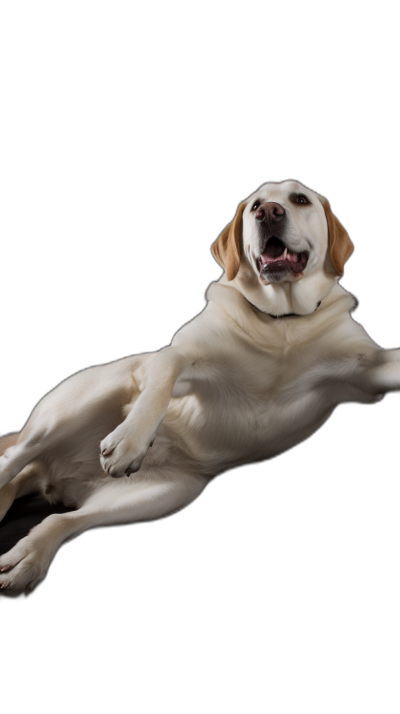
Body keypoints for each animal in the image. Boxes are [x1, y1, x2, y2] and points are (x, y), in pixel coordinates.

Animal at [0, 181, 400, 592]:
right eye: (255, 205)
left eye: (300, 200)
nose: (268, 213)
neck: (281, 321)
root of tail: (56, 475)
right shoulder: (176, 357)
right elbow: (163, 378)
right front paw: (130, 441)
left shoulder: (368, 368)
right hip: (77, 405)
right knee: (11, 459)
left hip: (167, 494)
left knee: (61, 519)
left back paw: (31, 557)